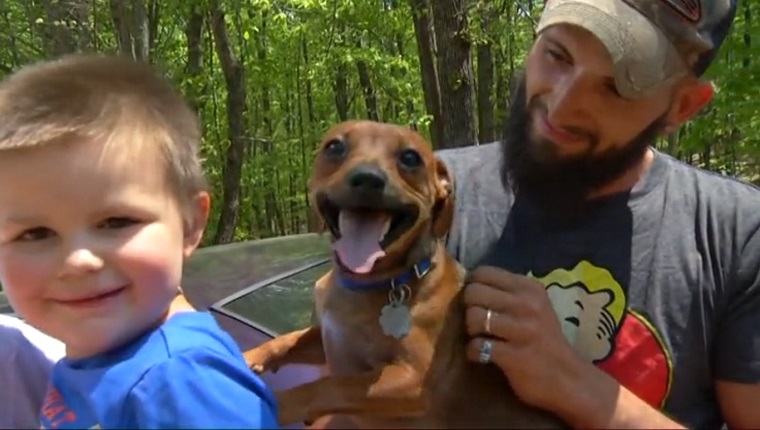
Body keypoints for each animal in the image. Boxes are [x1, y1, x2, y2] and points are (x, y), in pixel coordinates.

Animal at [243, 119, 564, 428]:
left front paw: (275, 403)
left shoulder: (411, 377)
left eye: (410, 157)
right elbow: (287, 341)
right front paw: (250, 357)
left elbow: (330, 385)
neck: (365, 283)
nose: (368, 178)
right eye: (334, 146)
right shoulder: (325, 338)